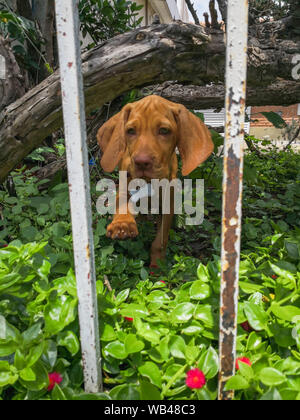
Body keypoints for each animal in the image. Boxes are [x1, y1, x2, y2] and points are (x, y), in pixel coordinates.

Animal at [97, 95, 214, 266]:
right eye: (130, 131)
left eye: (164, 131)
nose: (141, 162)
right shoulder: (125, 187)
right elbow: (122, 204)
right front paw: (122, 224)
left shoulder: (168, 206)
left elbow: (160, 242)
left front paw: (157, 266)